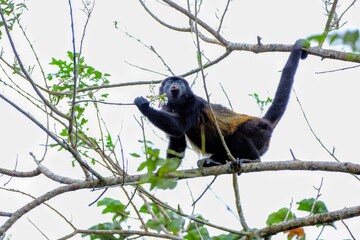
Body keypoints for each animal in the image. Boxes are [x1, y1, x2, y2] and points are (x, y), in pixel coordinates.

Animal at [134, 39, 308, 167]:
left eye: (180, 82)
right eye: (170, 82)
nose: (175, 84)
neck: (177, 104)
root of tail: (265, 122)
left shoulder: (193, 103)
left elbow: (180, 126)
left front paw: (144, 106)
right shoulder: (167, 108)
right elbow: (177, 144)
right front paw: (162, 173)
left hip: (259, 130)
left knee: (238, 136)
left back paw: (251, 159)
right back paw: (211, 162)